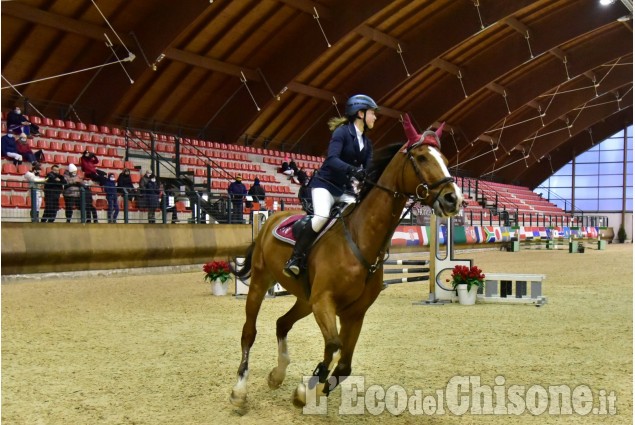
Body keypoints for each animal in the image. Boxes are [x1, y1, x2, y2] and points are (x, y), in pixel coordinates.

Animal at [229, 117, 462, 408]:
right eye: (421, 157)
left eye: (444, 159)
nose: (454, 199)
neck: (361, 239)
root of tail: (271, 217)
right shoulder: (324, 302)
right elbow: (333, 345)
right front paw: (310, 386)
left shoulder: (354, 313)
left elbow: (344, 366)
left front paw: (307, 391)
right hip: (262, 283)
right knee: (249, 331)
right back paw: (239, 389)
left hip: (305, 299)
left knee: (282, 323)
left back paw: (277, 375)